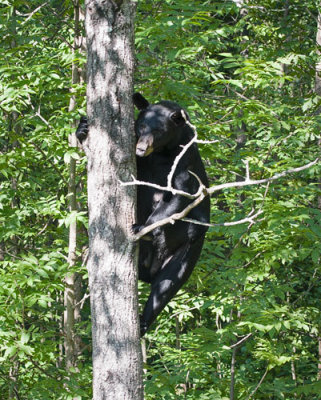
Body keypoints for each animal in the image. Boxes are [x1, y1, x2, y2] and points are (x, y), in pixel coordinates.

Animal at [75, 93, 210, 334]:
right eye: (140, 126)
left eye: (158, 131)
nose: (140, 148)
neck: (163, 152)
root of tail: (151, 268)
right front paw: (82, 128)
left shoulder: (185, 161)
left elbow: (179, 194)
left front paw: (142, 226)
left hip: (189, 246)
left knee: (166, 285)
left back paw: (143, 322)